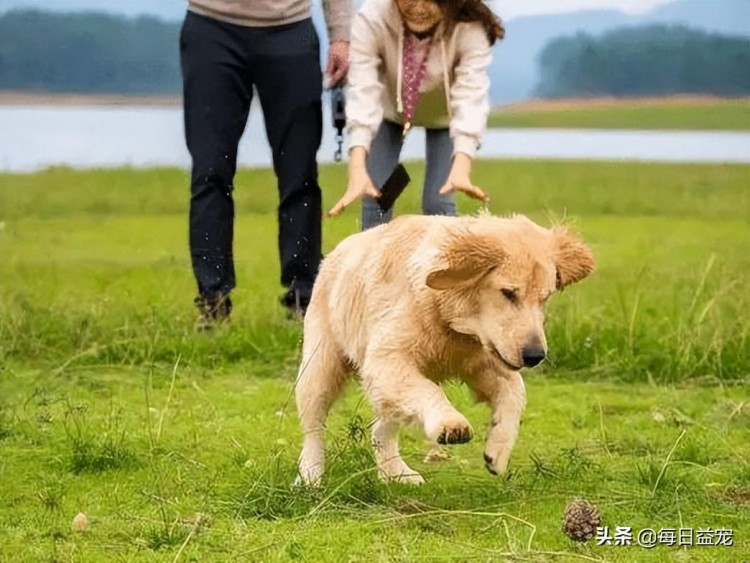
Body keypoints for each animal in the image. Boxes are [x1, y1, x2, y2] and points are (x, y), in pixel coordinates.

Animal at [296, 214, 596, 486]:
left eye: (545, 297)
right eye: (508, 293)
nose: (535, 356)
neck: (453, 325)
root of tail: (338, 251)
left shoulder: (483, 359)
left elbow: (515, 391)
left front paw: (497, 452)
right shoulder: (387, 360)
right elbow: (429, 390)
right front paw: (450, 423)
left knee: (382, 427)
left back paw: (396, 473)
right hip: (321, 365)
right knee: (314, 425)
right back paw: (310, 475)